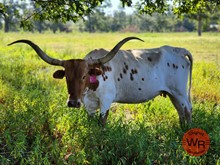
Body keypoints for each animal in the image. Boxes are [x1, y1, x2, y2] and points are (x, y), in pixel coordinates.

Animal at [7, 37, 192, 127]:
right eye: (67, 76)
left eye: (84, 76)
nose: (72, 103)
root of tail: (178, 50)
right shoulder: (88, 105)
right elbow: (91, 123)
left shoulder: (106, 101)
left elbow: (102, 122)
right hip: (173, 94)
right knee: (181, 113)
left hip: (181, 93)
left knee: (188, 111)